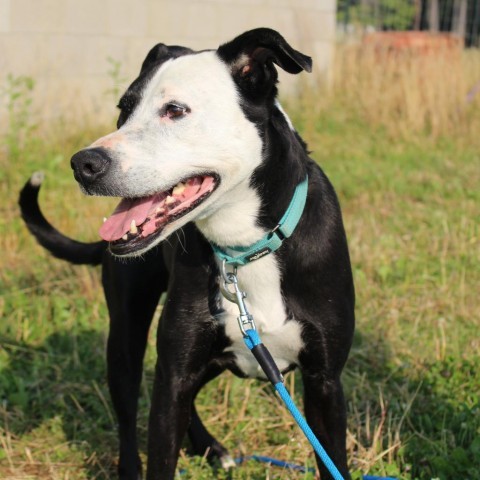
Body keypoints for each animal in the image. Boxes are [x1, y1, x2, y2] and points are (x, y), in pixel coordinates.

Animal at [18, 28, 354, 478]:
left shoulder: (325, 384)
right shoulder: (175, 370)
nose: (82, 164)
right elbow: (160, 448)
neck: (244, 249)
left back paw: (210, 448)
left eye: (175, 110)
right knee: (129, 412)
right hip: (127, 335)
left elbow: (333, 460)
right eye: (123, 110)